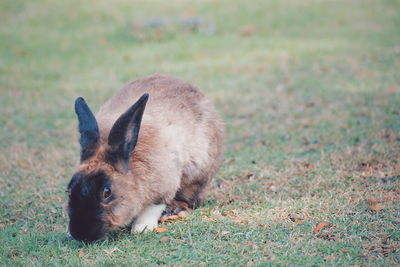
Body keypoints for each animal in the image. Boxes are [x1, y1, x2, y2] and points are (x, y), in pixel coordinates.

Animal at [64, 73, 223, 243]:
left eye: (107, 192)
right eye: (69, 191)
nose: (81, 234)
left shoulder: (163, 187)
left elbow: (153, 207)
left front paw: (141, 228)